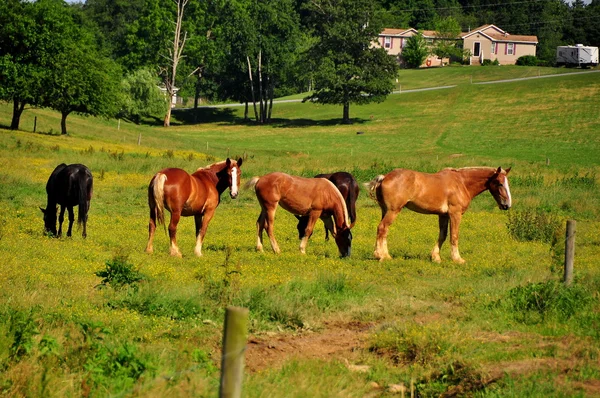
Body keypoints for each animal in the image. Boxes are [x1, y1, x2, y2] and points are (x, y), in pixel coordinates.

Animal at [366, 166, 510, 262]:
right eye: (500, 183)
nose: (507, 205)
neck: (461, 183)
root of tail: (384, 177)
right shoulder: (455, 214)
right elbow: (454, 236)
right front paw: (457, 259)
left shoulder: (443, 215)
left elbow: (443, 235)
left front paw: (435, 257)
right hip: (393, 211)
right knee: (382, 228)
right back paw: (381, 255)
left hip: (385, 210)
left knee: (384, 231)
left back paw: (386, 255)